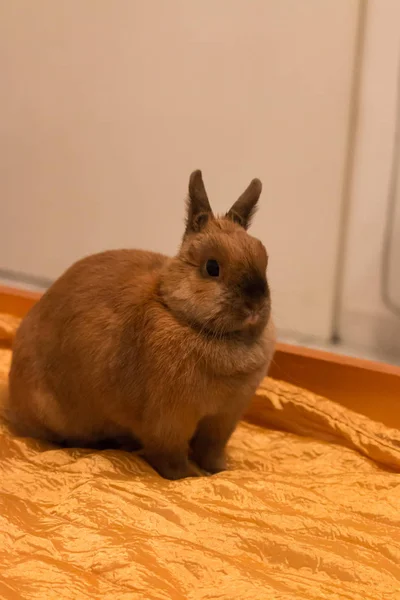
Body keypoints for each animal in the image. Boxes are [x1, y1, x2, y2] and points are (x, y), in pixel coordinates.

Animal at [6, 171, 276, 480]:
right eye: (212, 267)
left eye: (264, 260)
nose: (255, 306)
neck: (181, 314)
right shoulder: (170, 421)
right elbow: (171, 456)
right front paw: (189, 477)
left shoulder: (223, 419)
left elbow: (211, 449)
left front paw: (219, 471)